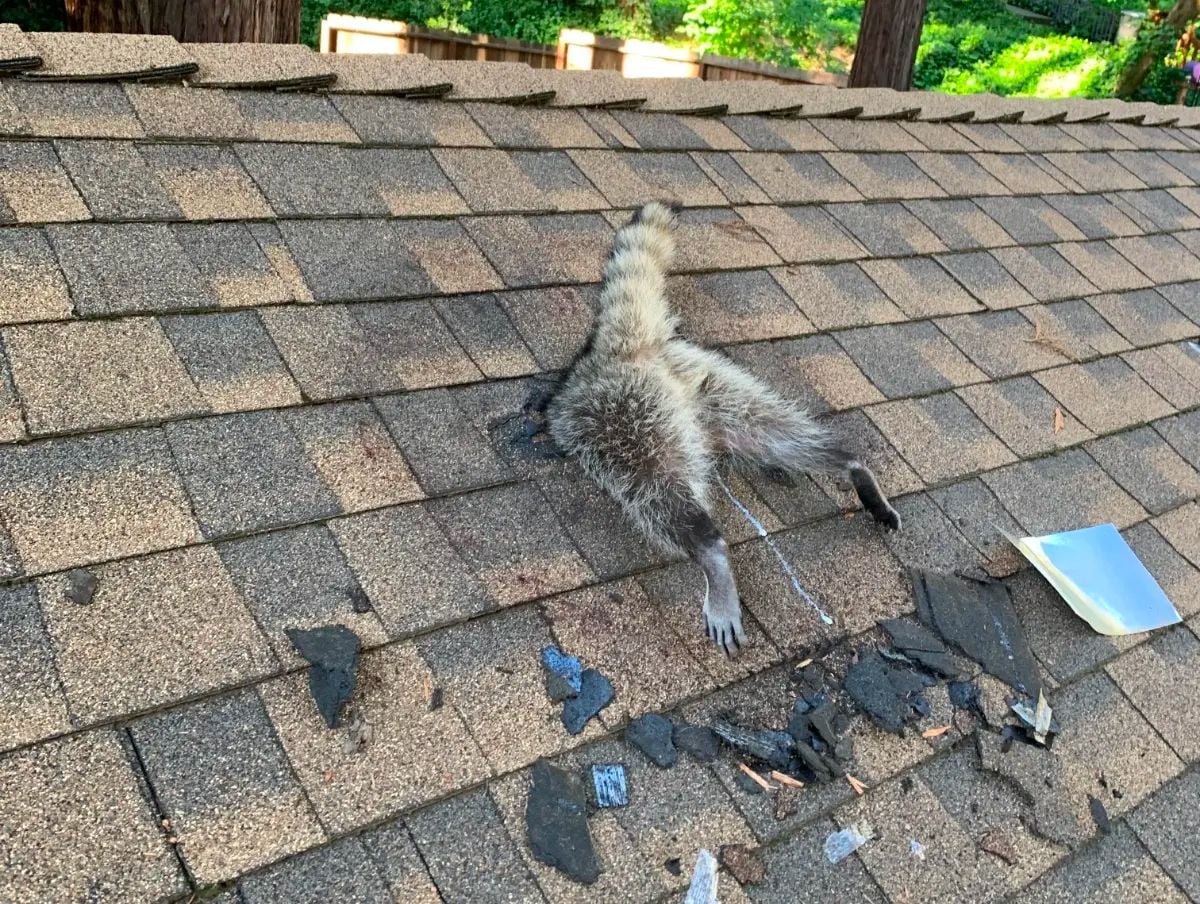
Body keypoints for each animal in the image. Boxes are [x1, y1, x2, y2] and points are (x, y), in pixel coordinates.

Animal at [539, 201, 901, 655]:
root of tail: (620, 352)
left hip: (625, 418)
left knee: (656, 490)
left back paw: (711, 551)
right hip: (708, 385)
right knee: (773, 432)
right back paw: (851, 465)